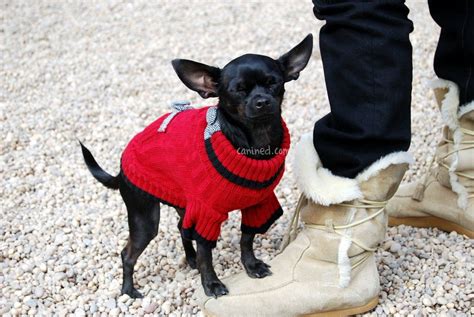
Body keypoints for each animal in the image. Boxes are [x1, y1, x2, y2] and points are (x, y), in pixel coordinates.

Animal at [79, 33, 312, 298]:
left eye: (274, 82)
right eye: (238, 90)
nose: (262, 101)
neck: (254, 142)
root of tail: (120, 170)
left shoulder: (257, 205)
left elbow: (246, 239)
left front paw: (251, 265)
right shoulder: (206, 214)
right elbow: (206, 255)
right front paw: (211, 283)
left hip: (183, 203)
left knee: (182, 228)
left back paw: (188, 259)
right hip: (144, 218)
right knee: (127, 254)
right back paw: (129, 289)